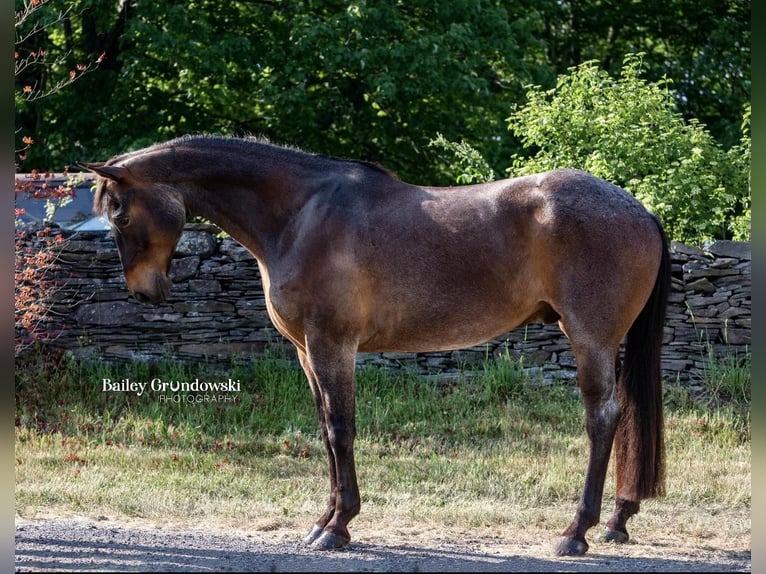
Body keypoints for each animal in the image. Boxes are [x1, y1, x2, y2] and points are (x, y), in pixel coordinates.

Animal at [81, 135, 672, 560]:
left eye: (121, 213)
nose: (145, 291)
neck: (299, 215)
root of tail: (640, 210)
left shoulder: (332, 345)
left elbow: (342, 428)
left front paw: (338, 527)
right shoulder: (307, 352)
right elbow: (325, 429)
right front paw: (324, 519)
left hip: (590, 338)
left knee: (602, 419)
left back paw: (577, 531)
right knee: (622, 416)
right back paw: (618, 520)